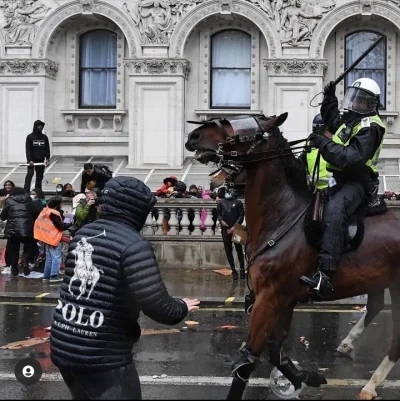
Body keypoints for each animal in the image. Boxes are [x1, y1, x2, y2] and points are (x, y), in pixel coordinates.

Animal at [184, 113, 400, 400]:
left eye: (244, 129)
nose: (194, 135)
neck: (284, 214)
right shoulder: (284, 300)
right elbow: (276, 351)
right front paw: (304, 376)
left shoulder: (269, 299)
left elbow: (247, 360)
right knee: (376, 308)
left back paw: (370, 384)